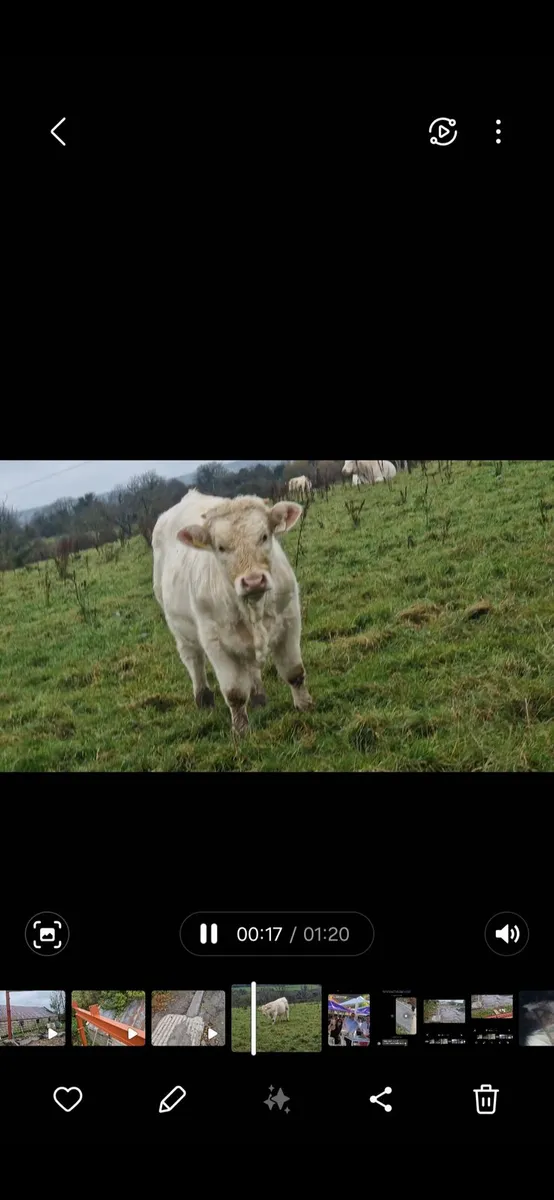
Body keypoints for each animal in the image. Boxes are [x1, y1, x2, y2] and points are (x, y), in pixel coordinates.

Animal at [152, 489, 313, 734]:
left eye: (264, 536)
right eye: (220, 547)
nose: (253, 581)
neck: (253, 609)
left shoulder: (290, 620)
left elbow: (294, 672)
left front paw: (305, 707)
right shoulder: (215, 643)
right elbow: (235, 694)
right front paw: (241, 731)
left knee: (250, 666)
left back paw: (258, 696)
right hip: (179, 628)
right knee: (193, 660)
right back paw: (203, 698)